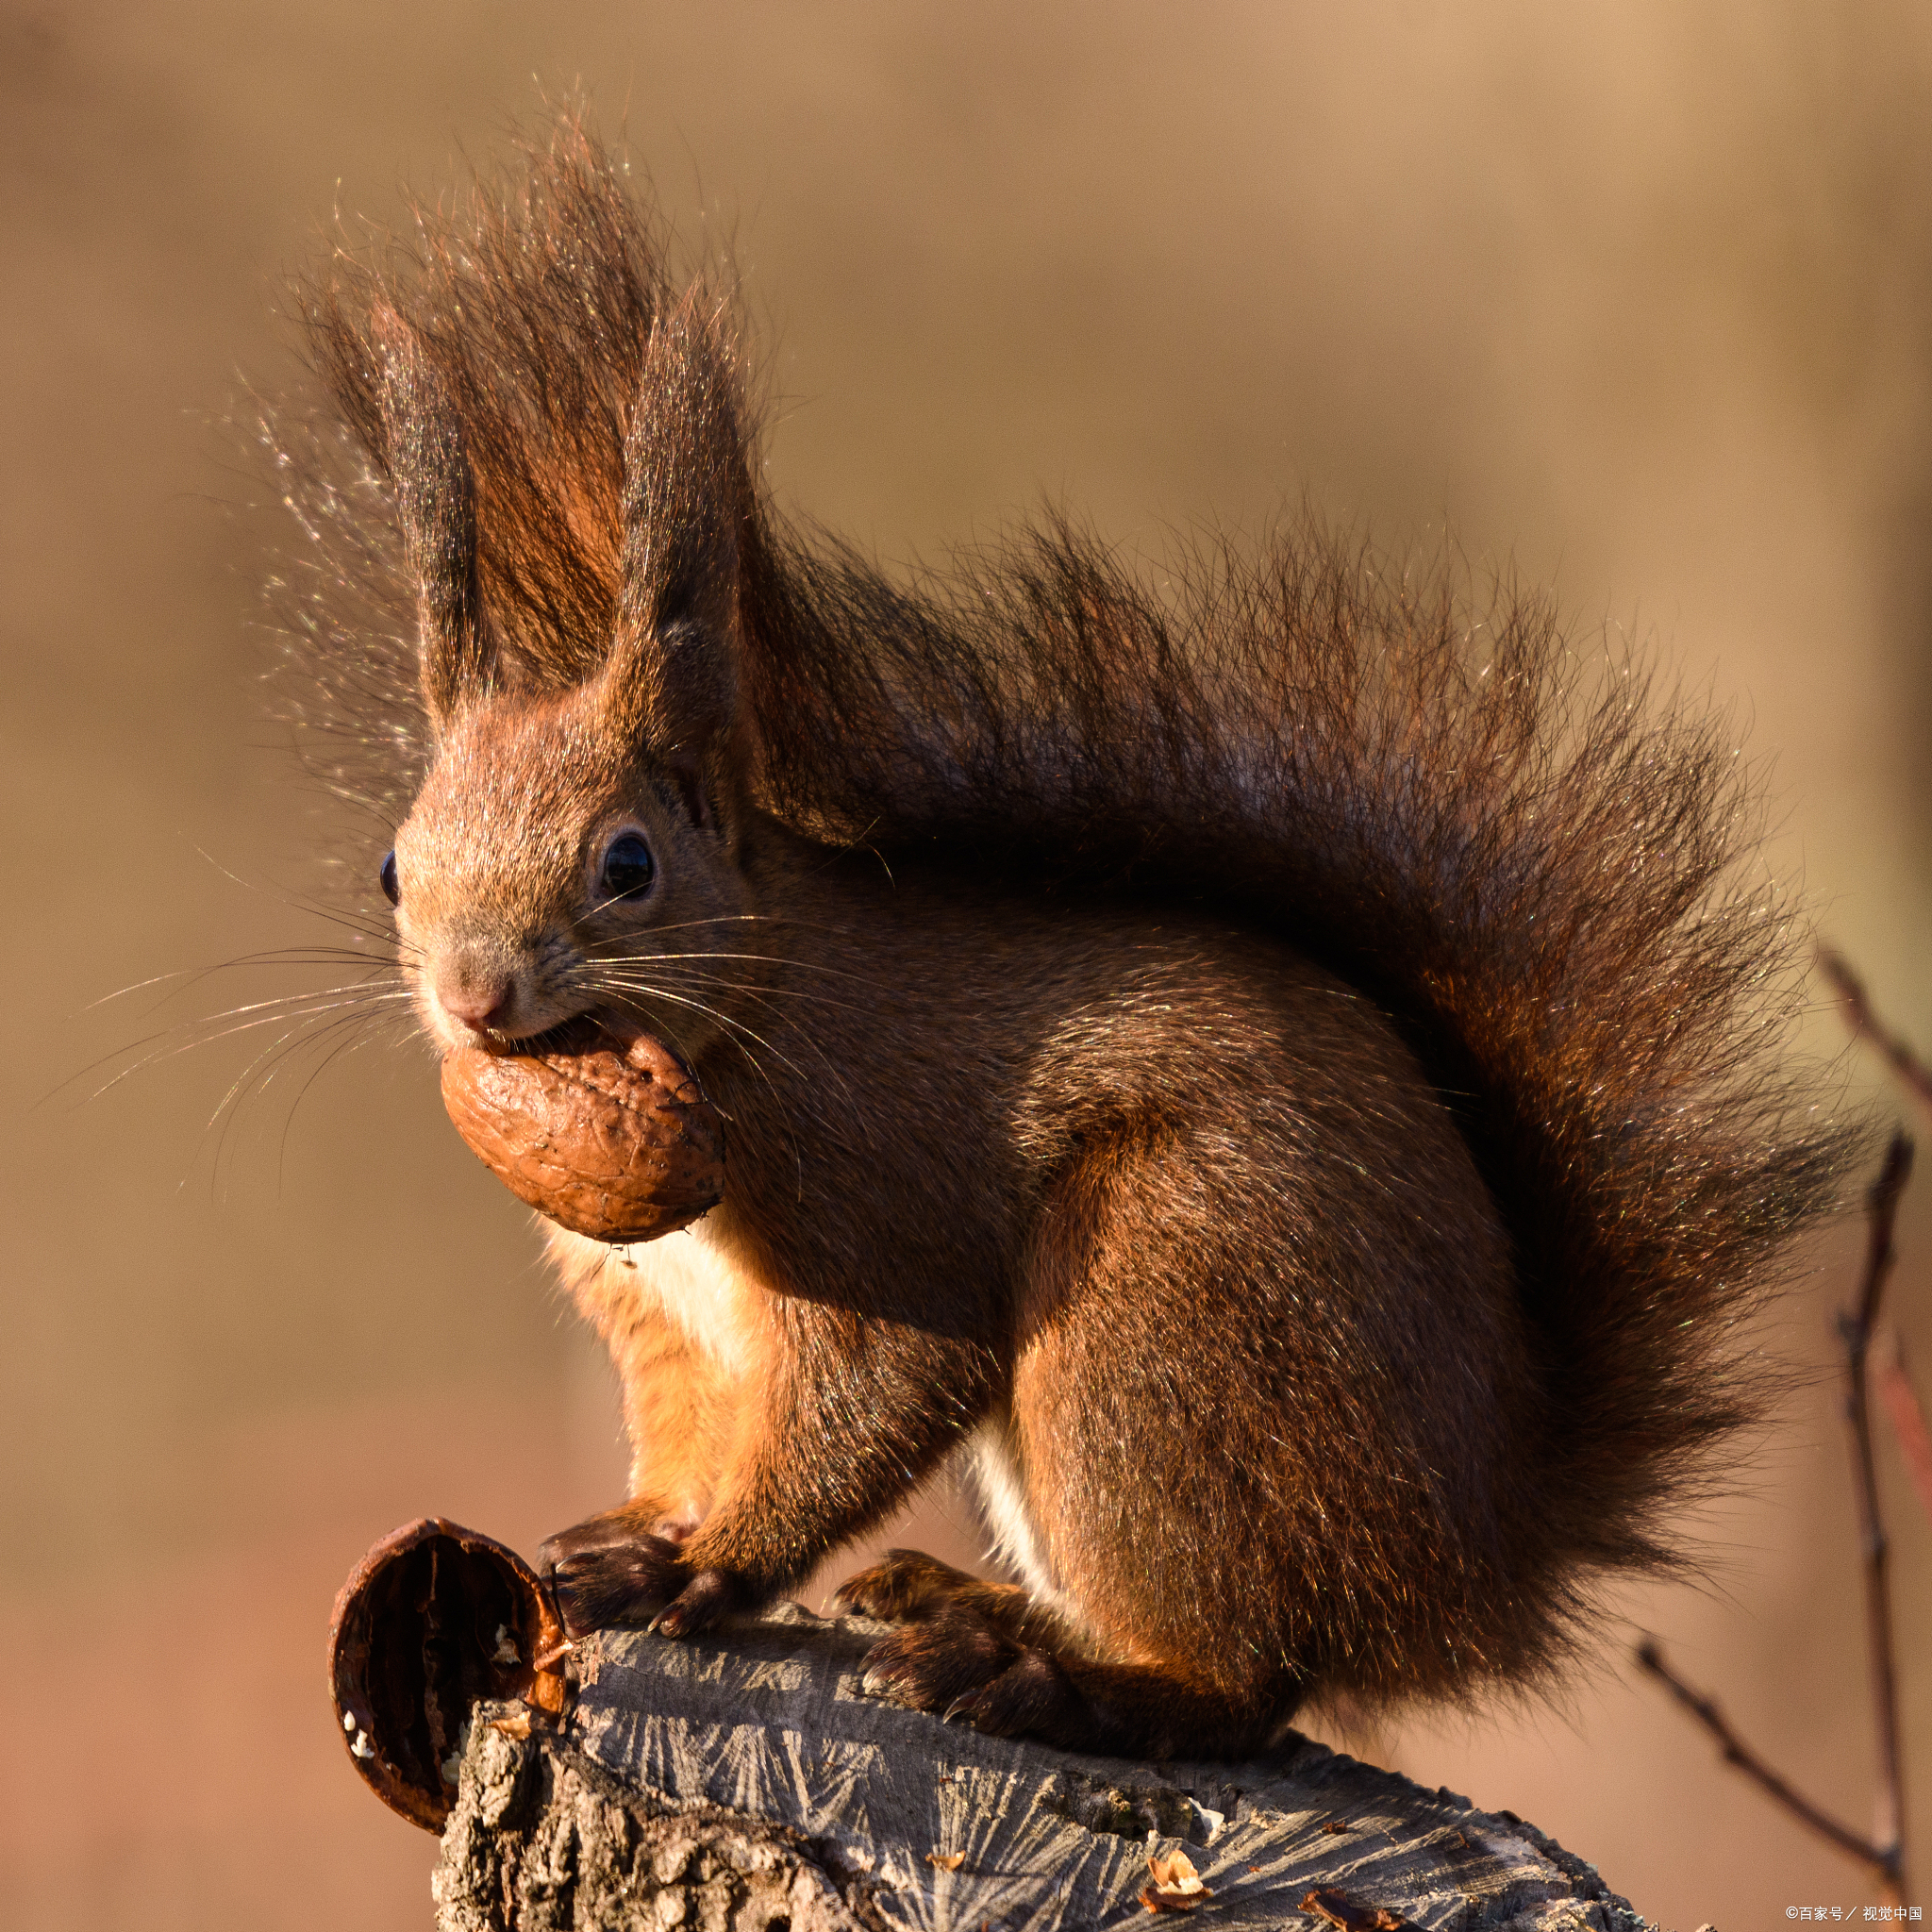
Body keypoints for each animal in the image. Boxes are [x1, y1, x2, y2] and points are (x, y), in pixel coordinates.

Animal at [275, 112, 1855, 1761]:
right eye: (393, 868)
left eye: (628, 863)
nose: (477, 994)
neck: (739, 1018)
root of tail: (1473, 1565)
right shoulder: (660, 1321)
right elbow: (686, 1428)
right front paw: (638, 1532)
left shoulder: (878, 1192)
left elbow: (872, 1393)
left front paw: (708, 1568)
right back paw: (971, 1605)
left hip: (1158, 1319)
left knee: (1242, 1683)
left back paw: (1045, 1673)